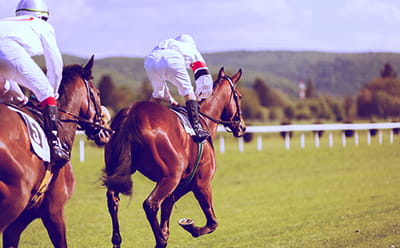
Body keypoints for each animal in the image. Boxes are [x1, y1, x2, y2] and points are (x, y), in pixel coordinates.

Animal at [102, 68, 247, 248]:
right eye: (239, 96)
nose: (242, 127)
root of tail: (131, 113)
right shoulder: (201, 183)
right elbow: (212, 222)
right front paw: (190, 227)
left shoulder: (182, 183)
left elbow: (167, 206)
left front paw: (167, 230)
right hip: (171, 177)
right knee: (150, 204)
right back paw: (160, 240)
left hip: (120, 172)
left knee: (113, 199)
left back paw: (118, 239)